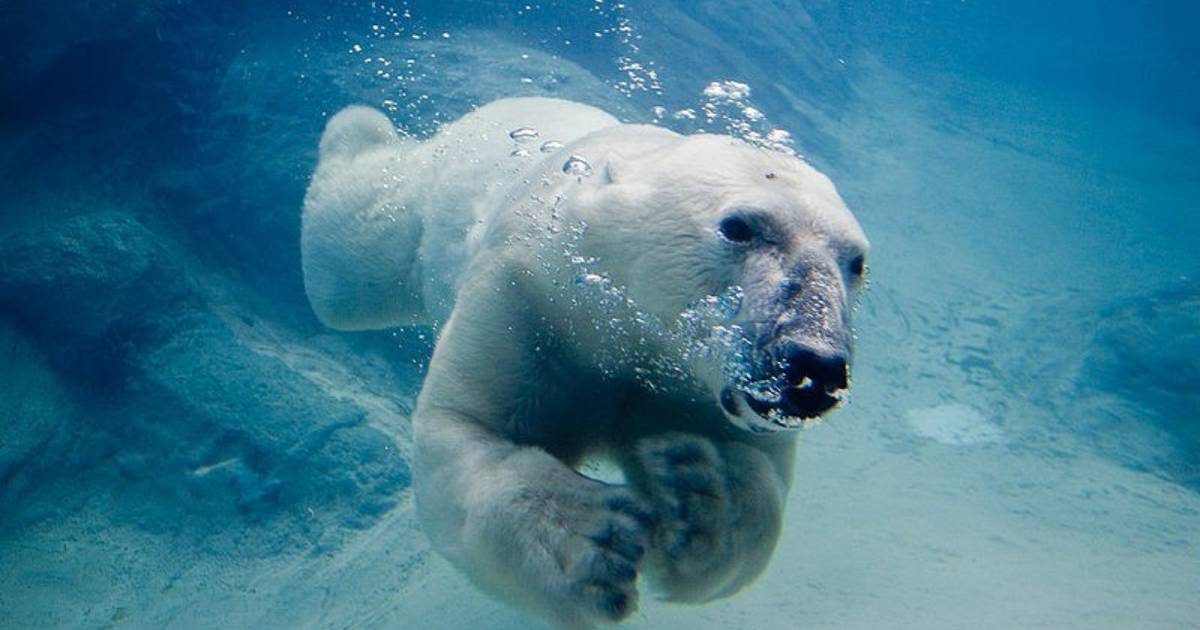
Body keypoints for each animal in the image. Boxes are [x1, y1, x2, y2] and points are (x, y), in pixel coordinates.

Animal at [298, 96, 864, 624]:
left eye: (857, 262)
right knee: (351, 261)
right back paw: (357, 128)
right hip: (429, 196)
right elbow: (466, 429)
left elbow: (757, 482)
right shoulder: (527, 299)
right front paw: (594, 542)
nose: (814, 368)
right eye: (739, 227)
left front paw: (697, 489)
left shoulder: (698, 390)